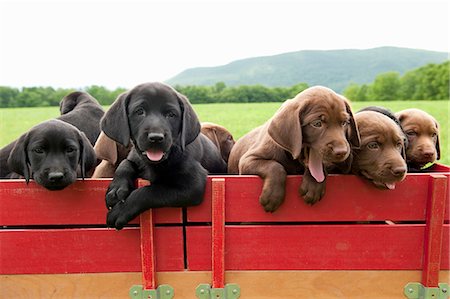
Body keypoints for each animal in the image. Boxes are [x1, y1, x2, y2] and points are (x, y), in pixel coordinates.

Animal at [103, 82, 227, 230]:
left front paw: (120, 211)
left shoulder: (193, 186)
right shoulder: (134, 157)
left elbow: (149, 191)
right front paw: (116, 189)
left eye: (171, 114)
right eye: (139, 111)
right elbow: (125, 163)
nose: (156, 138)